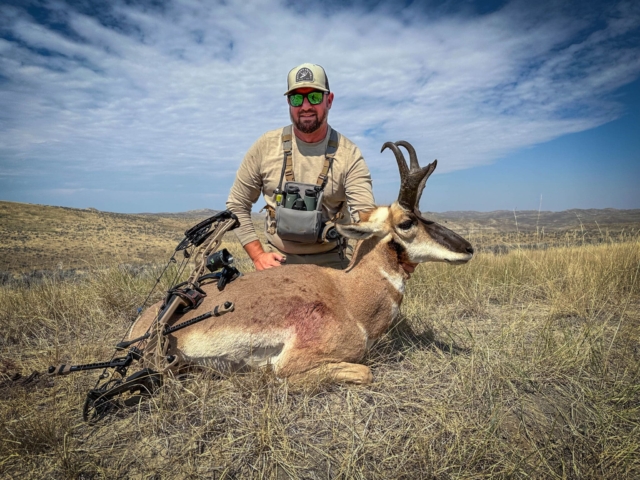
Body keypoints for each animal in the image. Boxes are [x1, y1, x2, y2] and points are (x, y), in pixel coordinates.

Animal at [127, 141, 474, 384]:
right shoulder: (290, 365)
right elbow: (364, 373)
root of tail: (141, 323)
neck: (346, 295)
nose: (468, 248)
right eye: (407, 222)